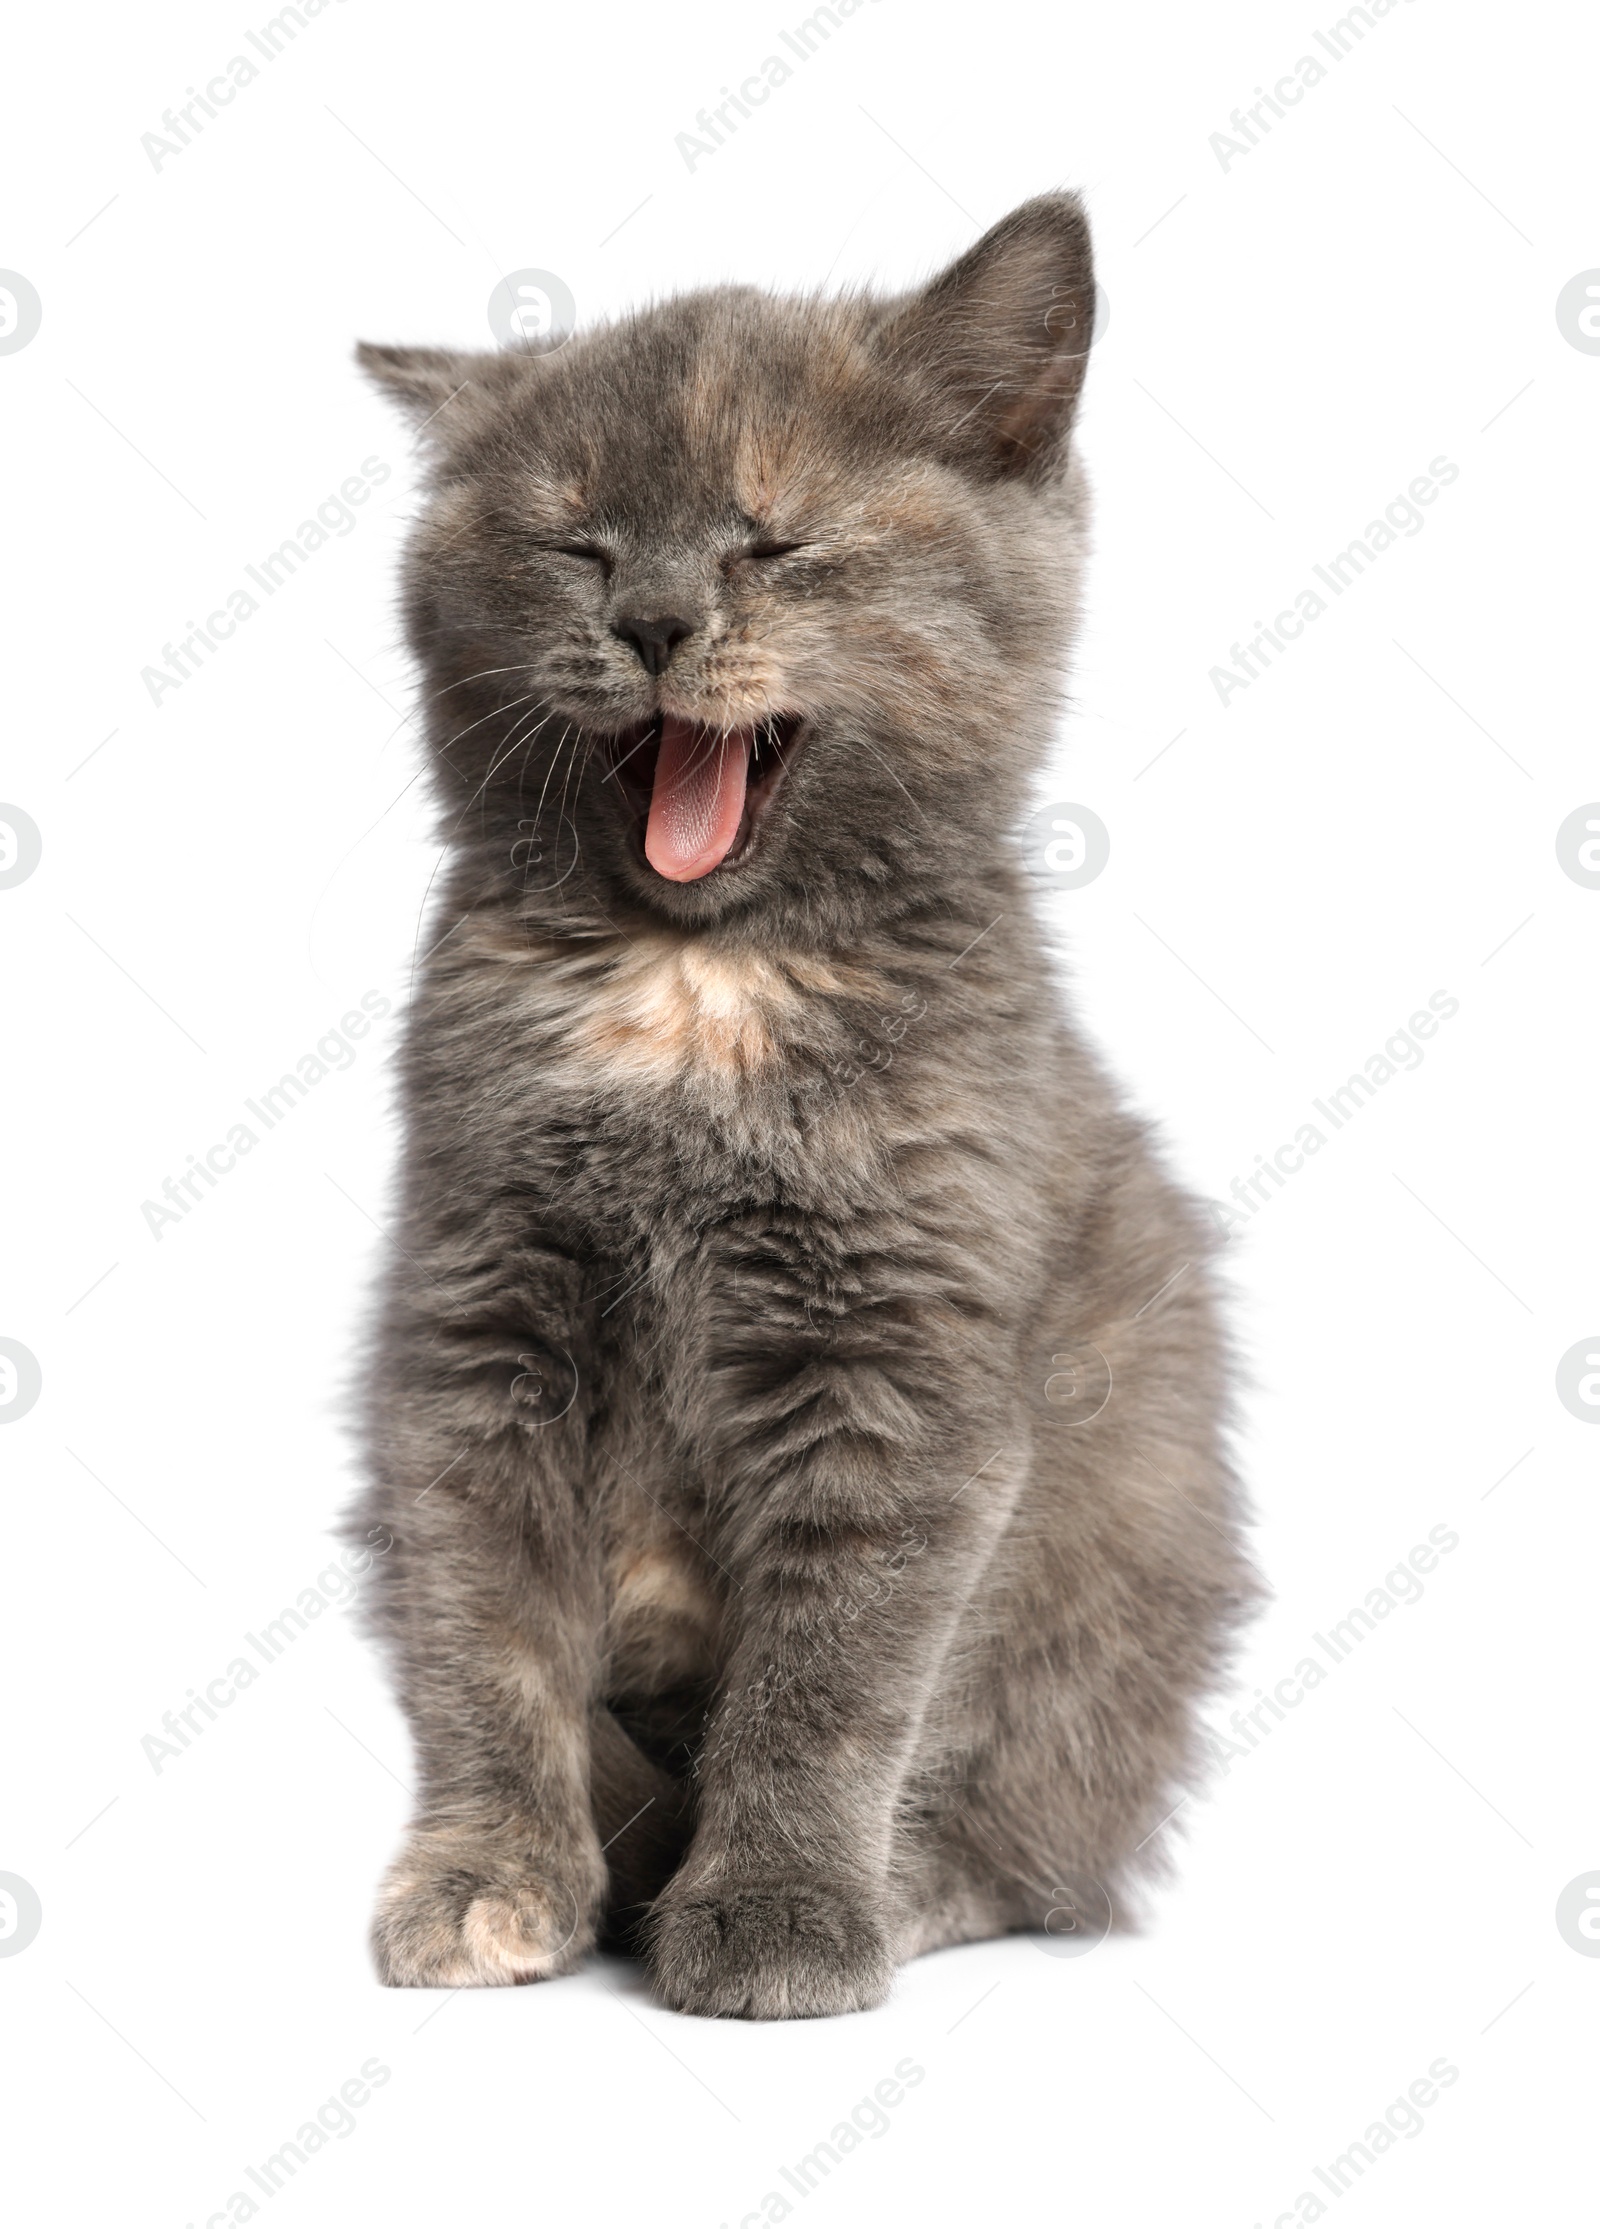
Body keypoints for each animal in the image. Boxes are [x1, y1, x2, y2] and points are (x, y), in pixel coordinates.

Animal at [354, 196, 1265, 2023]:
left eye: (771, 543)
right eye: (575, 545)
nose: (652, 620)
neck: (696, 987)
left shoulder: (901, 1356)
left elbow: (834, 1672)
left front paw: (778, 1907)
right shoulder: (475, 1329)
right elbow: (484, 1634)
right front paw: (490, 1875)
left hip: (1118, 1571)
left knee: (1037, 1826)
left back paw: (904, 1884)